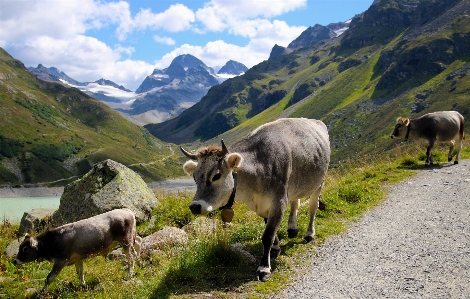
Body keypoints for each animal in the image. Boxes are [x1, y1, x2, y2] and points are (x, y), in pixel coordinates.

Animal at [180, 118, 330, 282]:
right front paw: (276, 248)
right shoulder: (263, 205)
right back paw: (292, 229)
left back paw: (309, 235)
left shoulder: (278, 201)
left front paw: (264, 268)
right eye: (195, 177)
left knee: (313, 207)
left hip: (319, 183)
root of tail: (316, 121)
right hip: (294, 185)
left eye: (216, 175)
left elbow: (267, 235)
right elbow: (270, 231)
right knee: (295, 202)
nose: (195, 206)